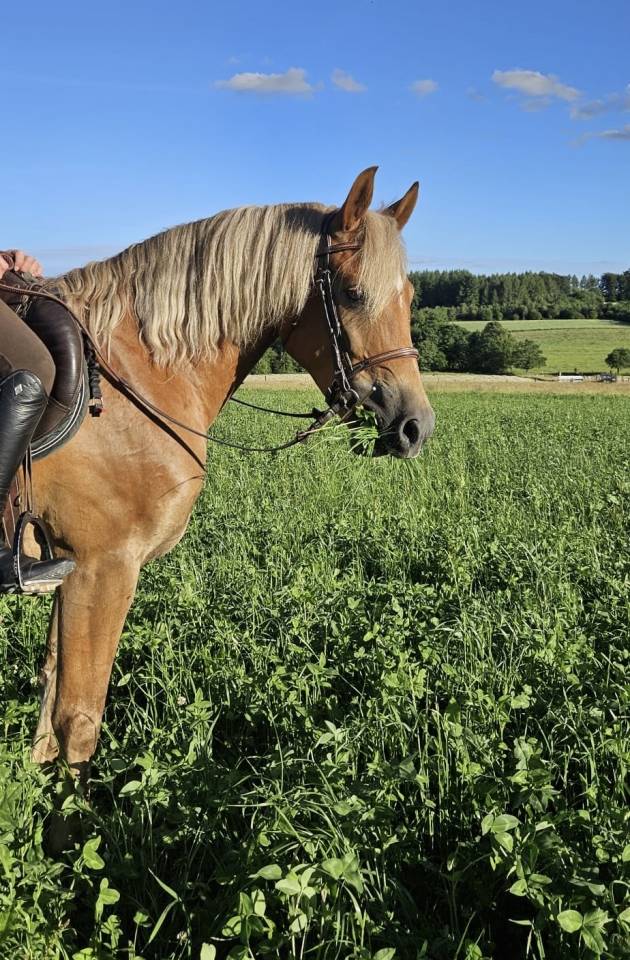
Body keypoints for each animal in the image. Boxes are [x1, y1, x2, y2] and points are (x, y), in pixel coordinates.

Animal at [26, 166, 435, 843]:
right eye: (352, 295)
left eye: (408, 296)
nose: (415, 427)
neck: (136, 375)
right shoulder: (99, 567)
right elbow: (77, 718)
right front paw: (67, 851)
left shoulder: (65, 566)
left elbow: (50, 692)